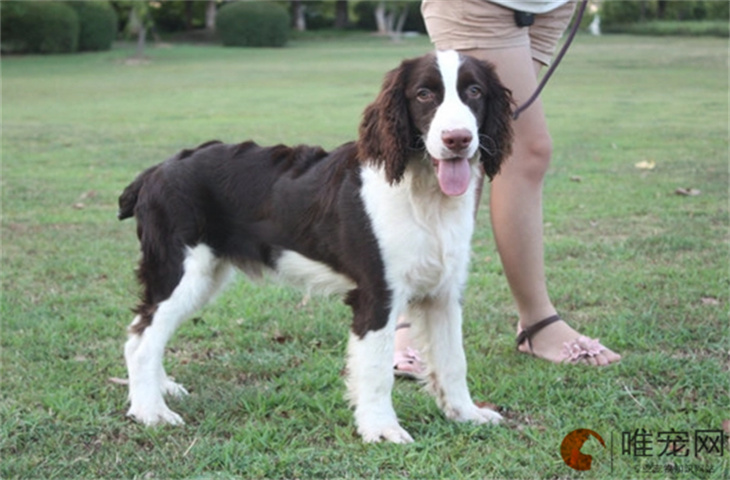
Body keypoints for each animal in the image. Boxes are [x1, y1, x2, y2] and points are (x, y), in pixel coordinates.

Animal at [118, 48, 512, 442]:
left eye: (474, 91)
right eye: (424, 94)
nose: (458, 139)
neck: (422, 196)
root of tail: (154, 172)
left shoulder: (443, 292)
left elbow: (453, 360)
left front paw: (466, 414)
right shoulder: (377, 293)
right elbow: (377, 369)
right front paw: (382, 429)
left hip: (204, 274)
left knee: (144, 330)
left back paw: (161, 389)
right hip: (181, 269)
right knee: (141, 341)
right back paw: (151, 411)